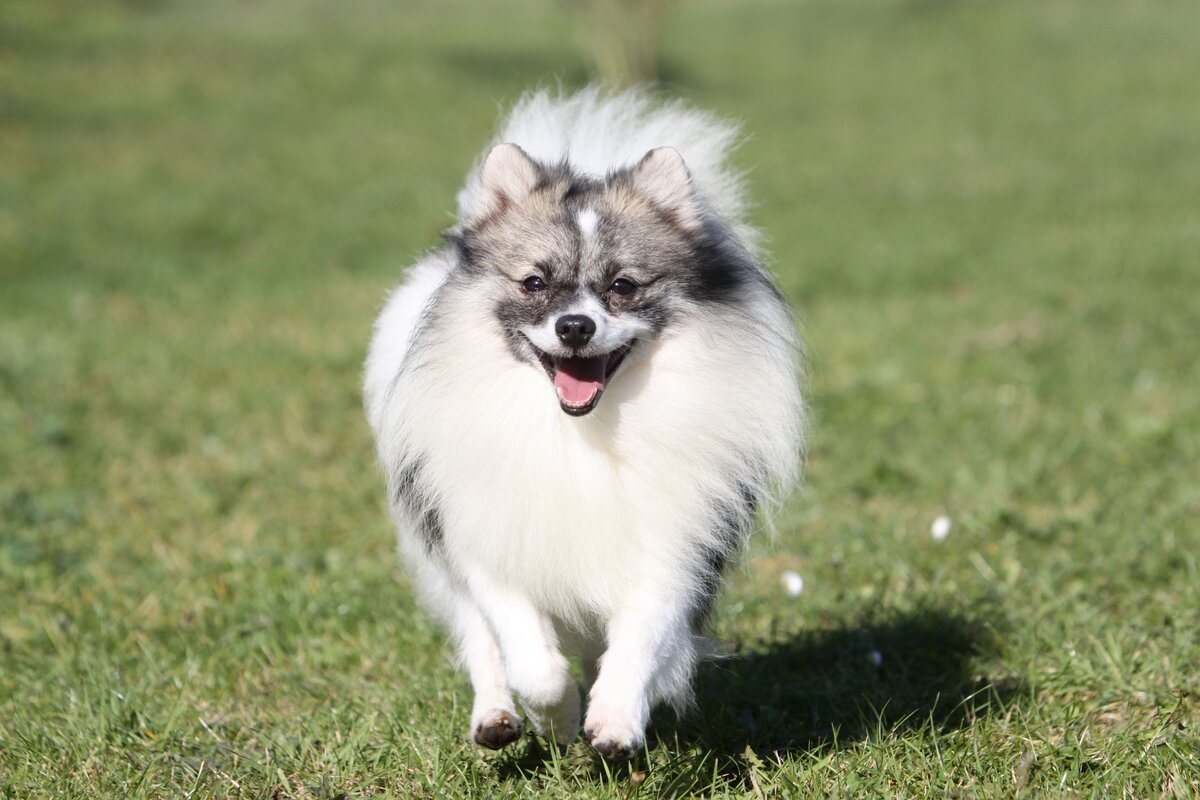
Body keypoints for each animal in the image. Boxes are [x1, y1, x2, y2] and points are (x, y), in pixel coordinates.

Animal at [360, 87, 801, 758]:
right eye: (534, 283)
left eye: (622, 285)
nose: (574, 326)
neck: (578, 430)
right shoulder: (487, 542)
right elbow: (530, 662)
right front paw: (557, 721)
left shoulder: (672, 543)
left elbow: (640, 637)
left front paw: (614, 719)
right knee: (479, 641)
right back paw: (496, 718)